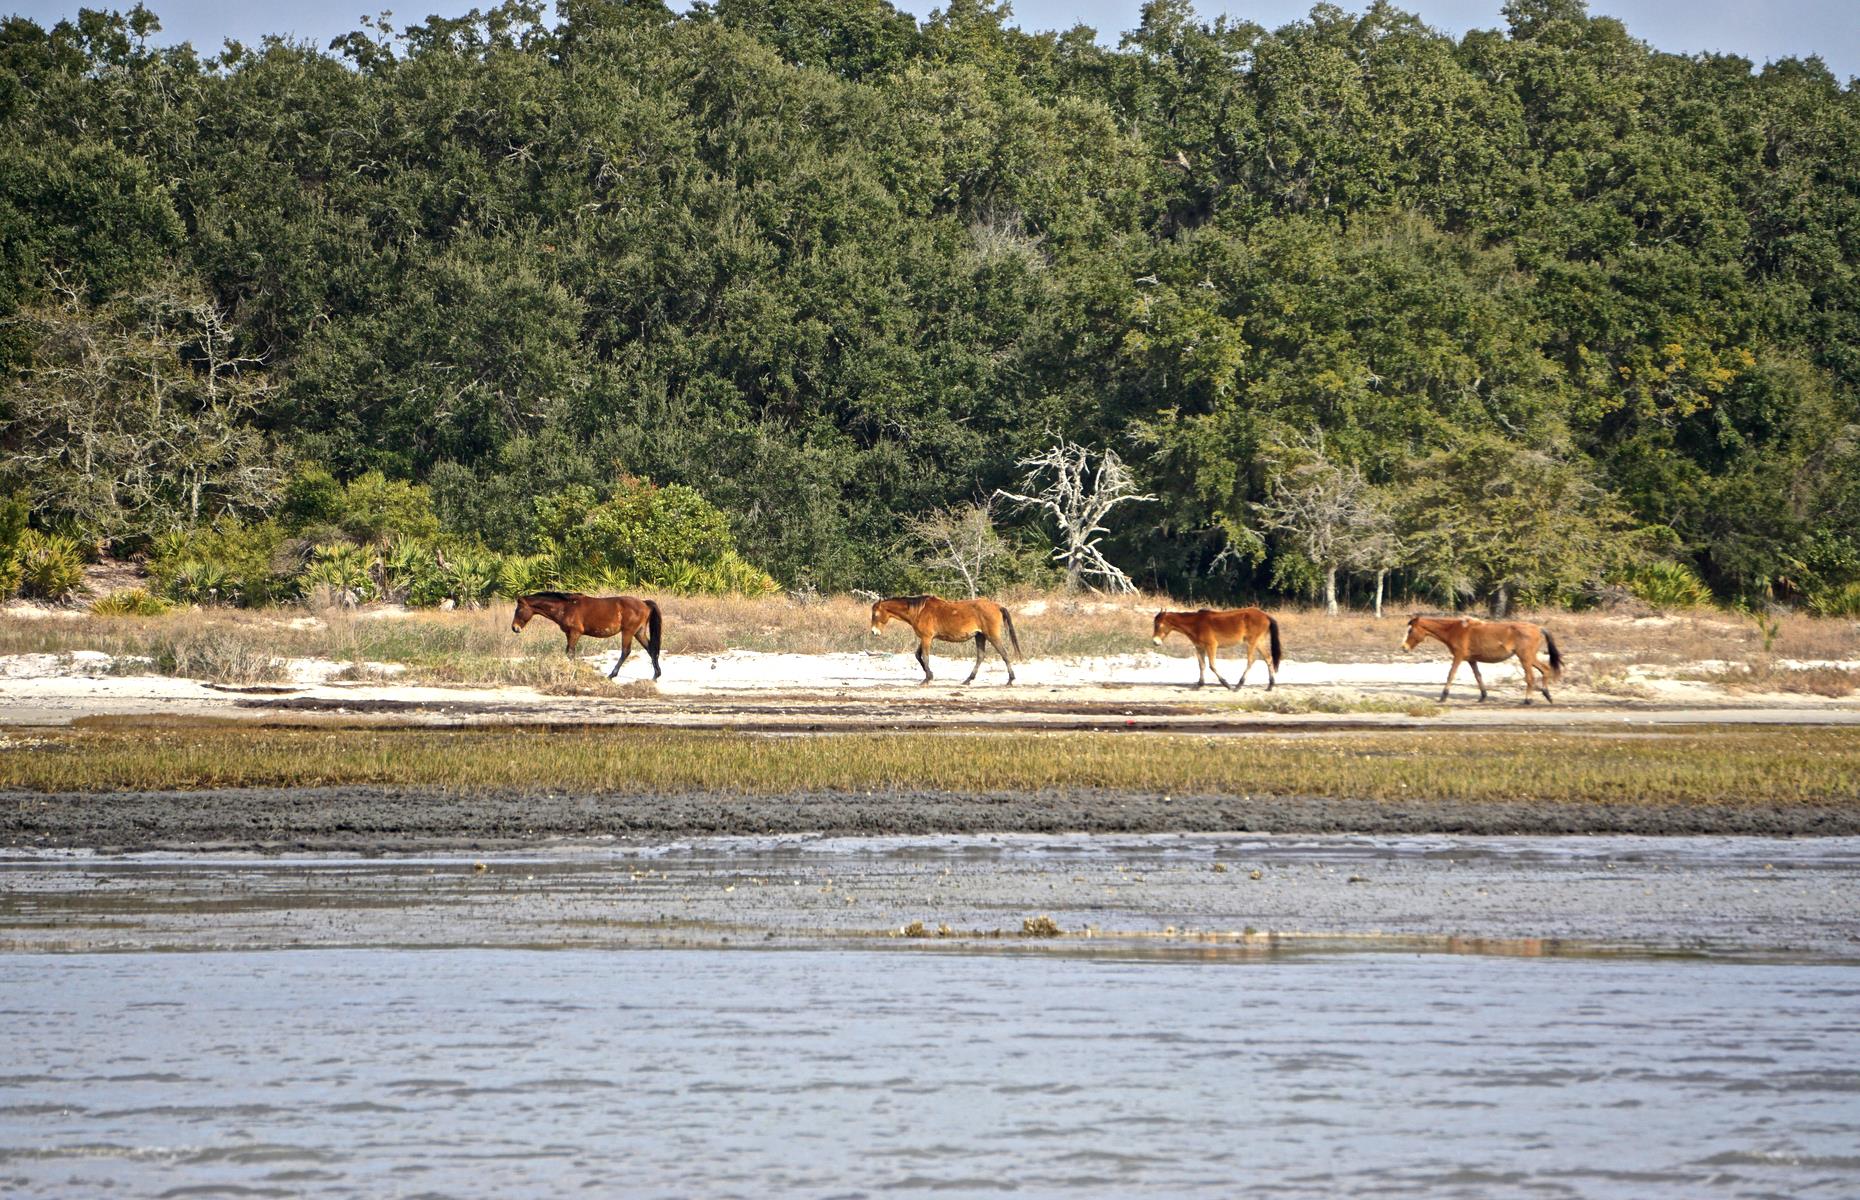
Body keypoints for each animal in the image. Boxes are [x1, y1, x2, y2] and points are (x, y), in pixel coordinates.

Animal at [513, 591, 665, 684]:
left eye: (518, 610)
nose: (514, 628)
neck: (566, 607)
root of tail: (644, 603)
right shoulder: (569, 634)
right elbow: (569, 653)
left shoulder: (575, 633)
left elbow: (570, 653)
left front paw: (575, 673)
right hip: (639, 632)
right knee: (651, 649)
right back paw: (655, 675)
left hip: (628, 632)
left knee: (625, 652)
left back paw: (611, 675)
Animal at [1145, 610, 1279, 692]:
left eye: (1158, 625)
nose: (1155, 642)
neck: (1196, 623)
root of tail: (1266, 616)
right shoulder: (1200, 648)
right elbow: (1202, 666)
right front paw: (1199, 684)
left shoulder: (1211, 646)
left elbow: (1212, 666)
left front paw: (1226, 684)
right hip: (1259, 642)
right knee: (1268, 659)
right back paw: (1270, 686)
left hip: (1252, 642)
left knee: (1251, 661)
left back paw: (1238, 685)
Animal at [1398, 617, 1562, 703]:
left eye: (1410, 630)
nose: (1404, 647)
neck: (1454, 630)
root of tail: (1539, 628)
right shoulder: (1472, 660)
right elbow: (1478, 676)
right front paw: (1483, 697)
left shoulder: (1458, 657)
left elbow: (1451, 674)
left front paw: (1443, 697)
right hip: (1530, 657)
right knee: (1545, 669)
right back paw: (1547, 695)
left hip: (1525, 658)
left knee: (1530, 677)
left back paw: (1528, 700)